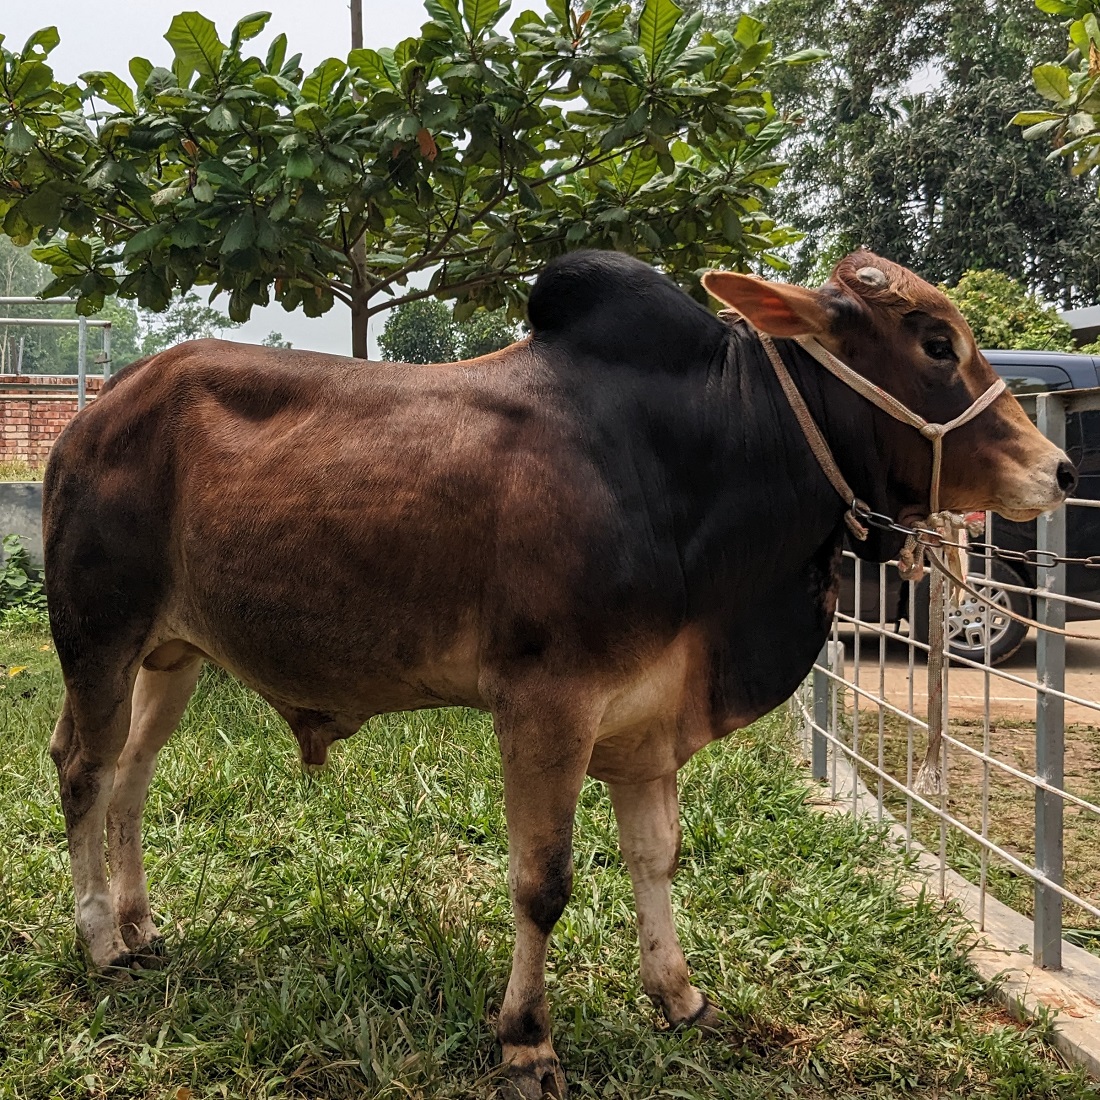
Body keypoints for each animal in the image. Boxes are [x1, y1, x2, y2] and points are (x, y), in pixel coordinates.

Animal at [40, 249, 1064, 1091]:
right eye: (937, 342)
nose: (1056, 469)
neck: (694, 459)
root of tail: (91, 420)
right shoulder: (546, 703)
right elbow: (543, 882)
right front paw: (527, 1040)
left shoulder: (646, 719)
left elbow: (657, 855)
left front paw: (679, 996)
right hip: (97, 636)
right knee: (85, 769)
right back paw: (97, 939)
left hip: (171, 656)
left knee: (131, 775)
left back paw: (139, 925)